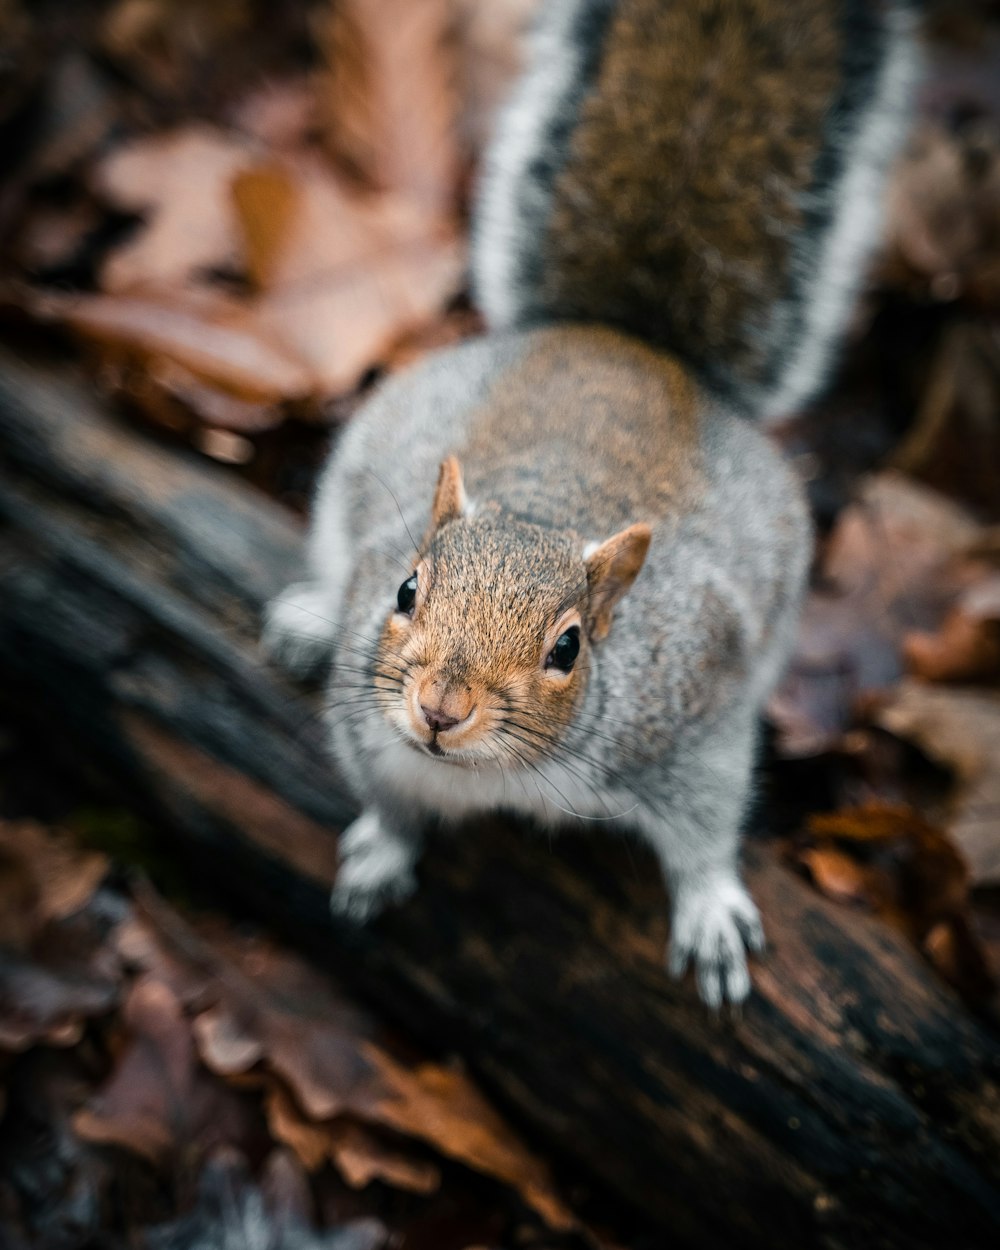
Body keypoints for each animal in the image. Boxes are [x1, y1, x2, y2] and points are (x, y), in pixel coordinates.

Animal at [263, 0, 915, 1005]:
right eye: (405, 592)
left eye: (568, 648)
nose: (440, 710)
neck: (495, 773)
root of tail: (625, 341)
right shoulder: (365, 722)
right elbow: (389, 798)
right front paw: (381, 853)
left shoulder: (690, 723)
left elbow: (708, 826)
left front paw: (711, 911)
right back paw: (306, 617)